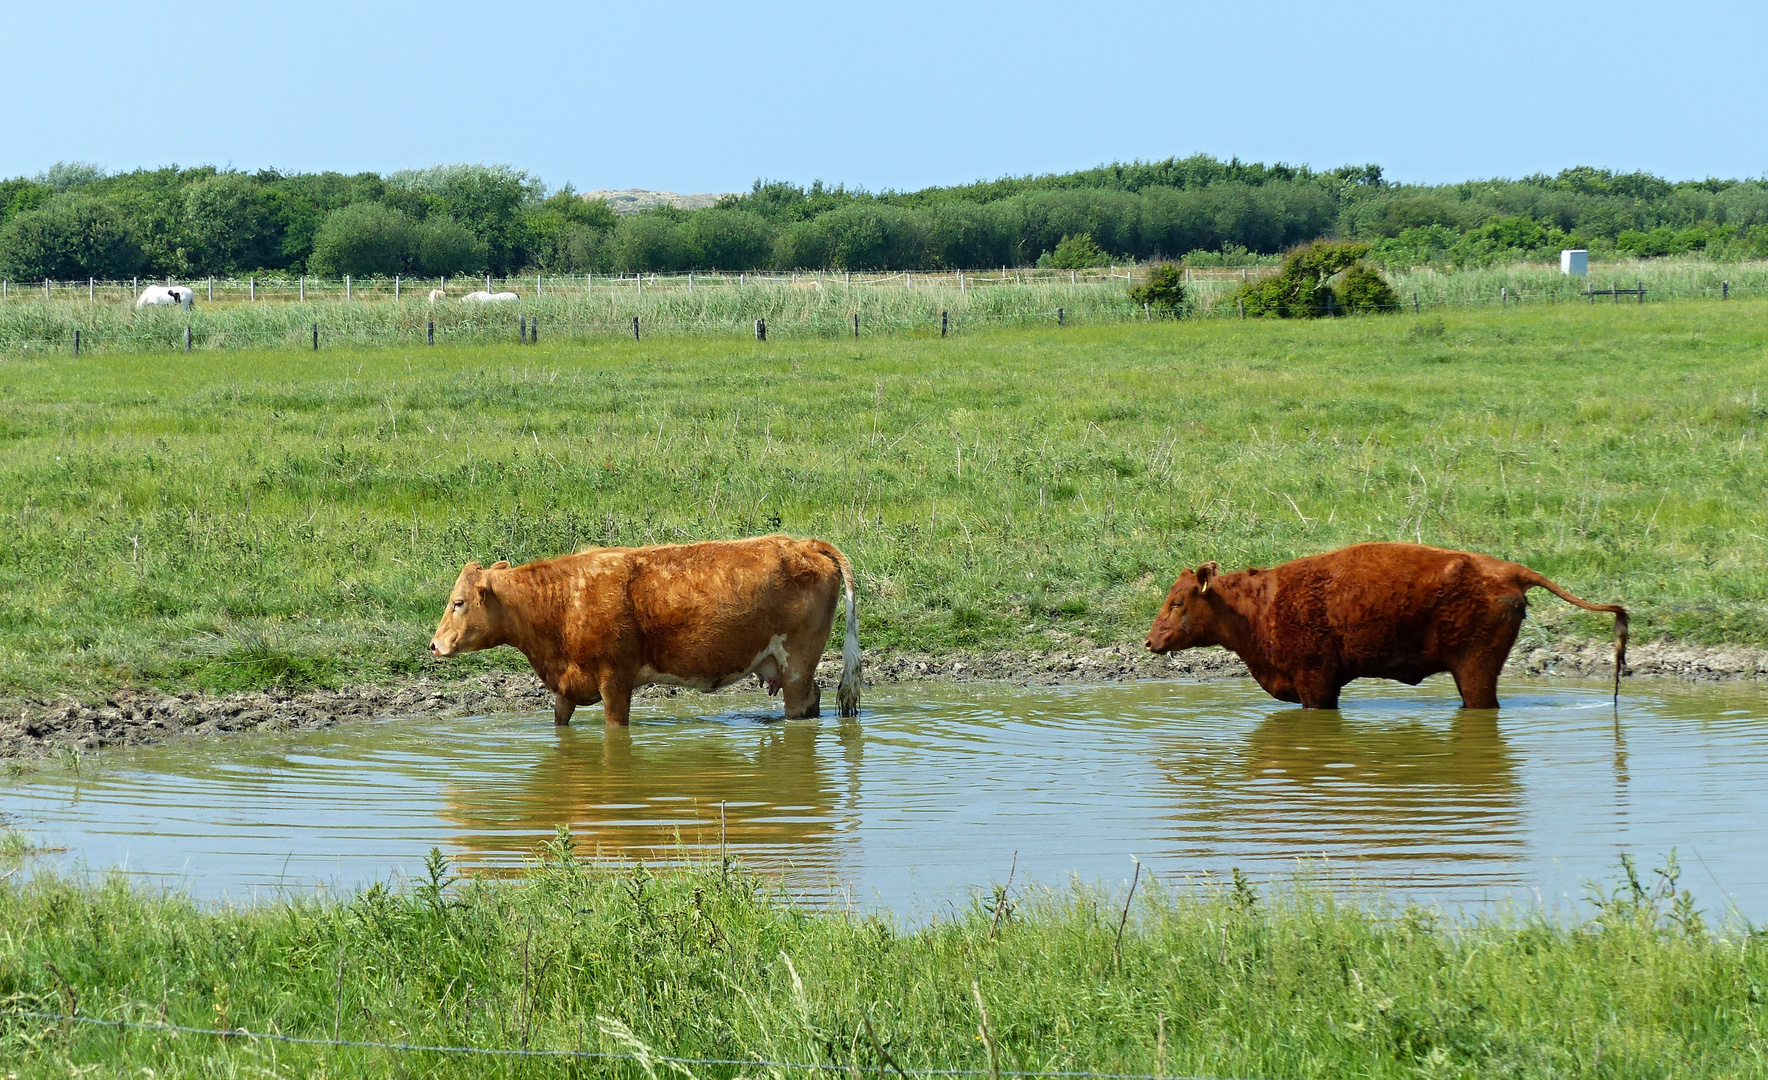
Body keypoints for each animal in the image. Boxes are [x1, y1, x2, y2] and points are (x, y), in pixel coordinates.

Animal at [434, 533, 862, 728]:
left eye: (458, 602)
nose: (434, 645)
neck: (564, 600)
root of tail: (805, 543)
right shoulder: (566, 688)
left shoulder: (614, 682)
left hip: (797, 664)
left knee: (801, 705)